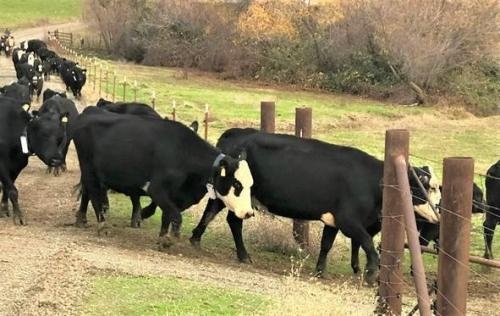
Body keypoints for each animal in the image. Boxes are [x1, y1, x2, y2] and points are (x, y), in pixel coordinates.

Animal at [70, 107, 254, 246]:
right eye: (237, 184)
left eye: (250, 185)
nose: (248, 213)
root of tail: (90, 111)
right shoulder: (156, 189)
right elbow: (176, 216)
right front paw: (169, 239)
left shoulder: (175, 197)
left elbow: (168, 216)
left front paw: (162, 238)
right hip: (89, 169)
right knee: (93, 193)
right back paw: (102, 225)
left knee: (87, 191)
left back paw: (82, 218)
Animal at [188, 128, 438, 284]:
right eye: (425, 187)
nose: (438, 213)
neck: (371, 181)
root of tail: (238, 133)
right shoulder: (349, 221)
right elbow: (367, 243)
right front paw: (370, 273)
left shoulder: (334, 220)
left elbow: (326, 244)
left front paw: (320, 270)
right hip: (237, 194)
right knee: (230, 219)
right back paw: (242, 255)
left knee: (215, 212)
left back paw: (197, 238)